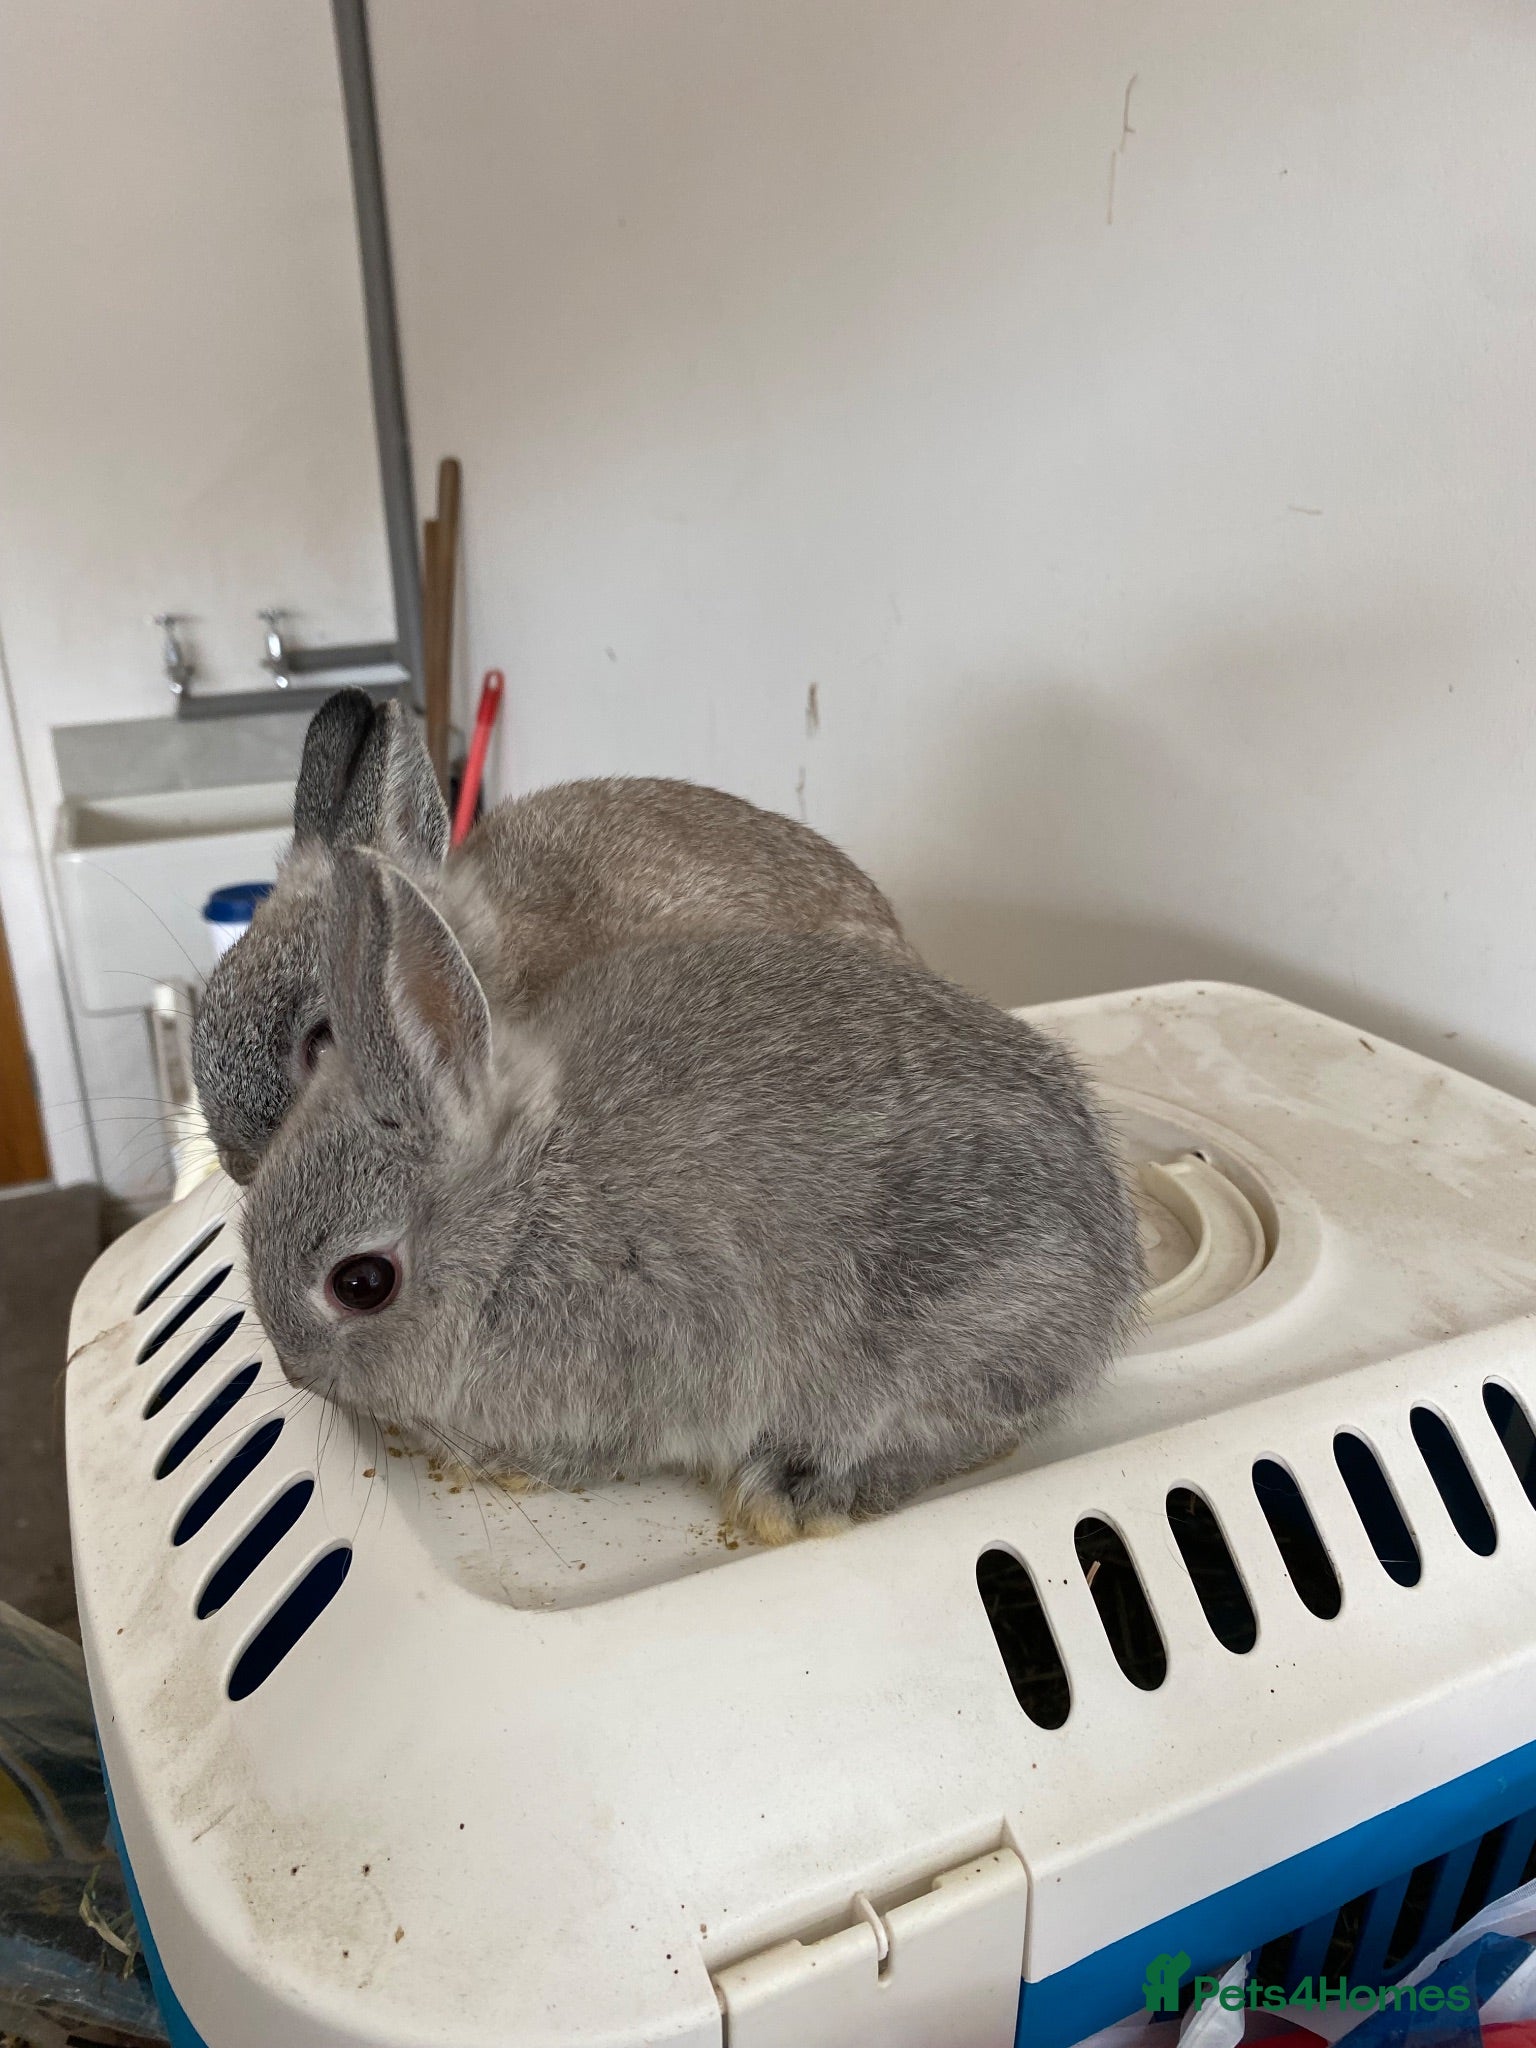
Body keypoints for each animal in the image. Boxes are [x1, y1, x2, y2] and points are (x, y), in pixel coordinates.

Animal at [241, 846, 1142, 1543]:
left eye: (361, 1283)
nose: (294, 1369)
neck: (521, 1214)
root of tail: (1114, 1277)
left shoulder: (647, 1359)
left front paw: (503, 1464)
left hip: (959, 1318)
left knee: (960, 1427)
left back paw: (799, 1492)